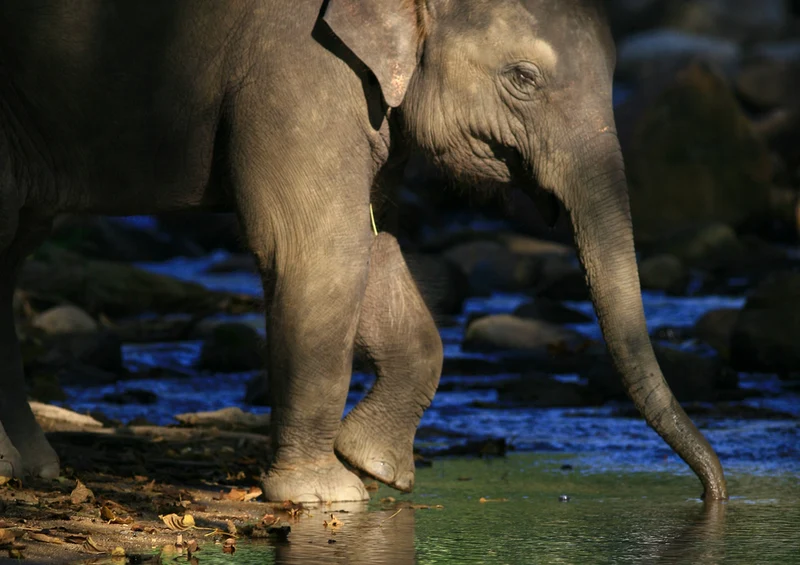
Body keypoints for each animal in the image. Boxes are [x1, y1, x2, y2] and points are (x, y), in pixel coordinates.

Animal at [0, 0, 728, 501]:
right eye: (523, 77)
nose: (715, 497)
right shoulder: (296, 66)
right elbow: (317, 246)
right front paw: (329, 494)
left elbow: (376, 241)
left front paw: (374, 466)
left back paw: (27, 465)